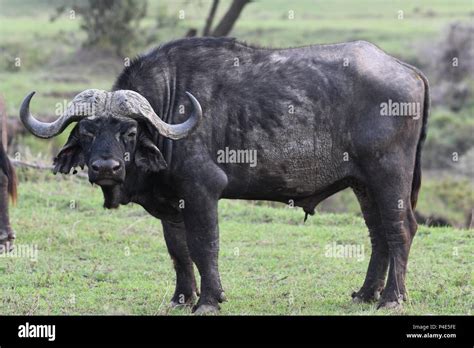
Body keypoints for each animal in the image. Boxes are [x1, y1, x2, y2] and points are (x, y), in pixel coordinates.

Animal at [19, 36, 430, 314]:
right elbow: (179, 251)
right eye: (87, 132)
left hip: (388, 175)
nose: (106, 167)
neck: (170, 106)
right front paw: (182, 298)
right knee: (378, 234)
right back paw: (366, 293)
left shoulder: (202, 192)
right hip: (363, 184)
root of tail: (408, 71)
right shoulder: (171, 205)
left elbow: (205, 247)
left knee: (400, 228)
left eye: (130, 132)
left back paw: (392, 298)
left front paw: (209, 300)